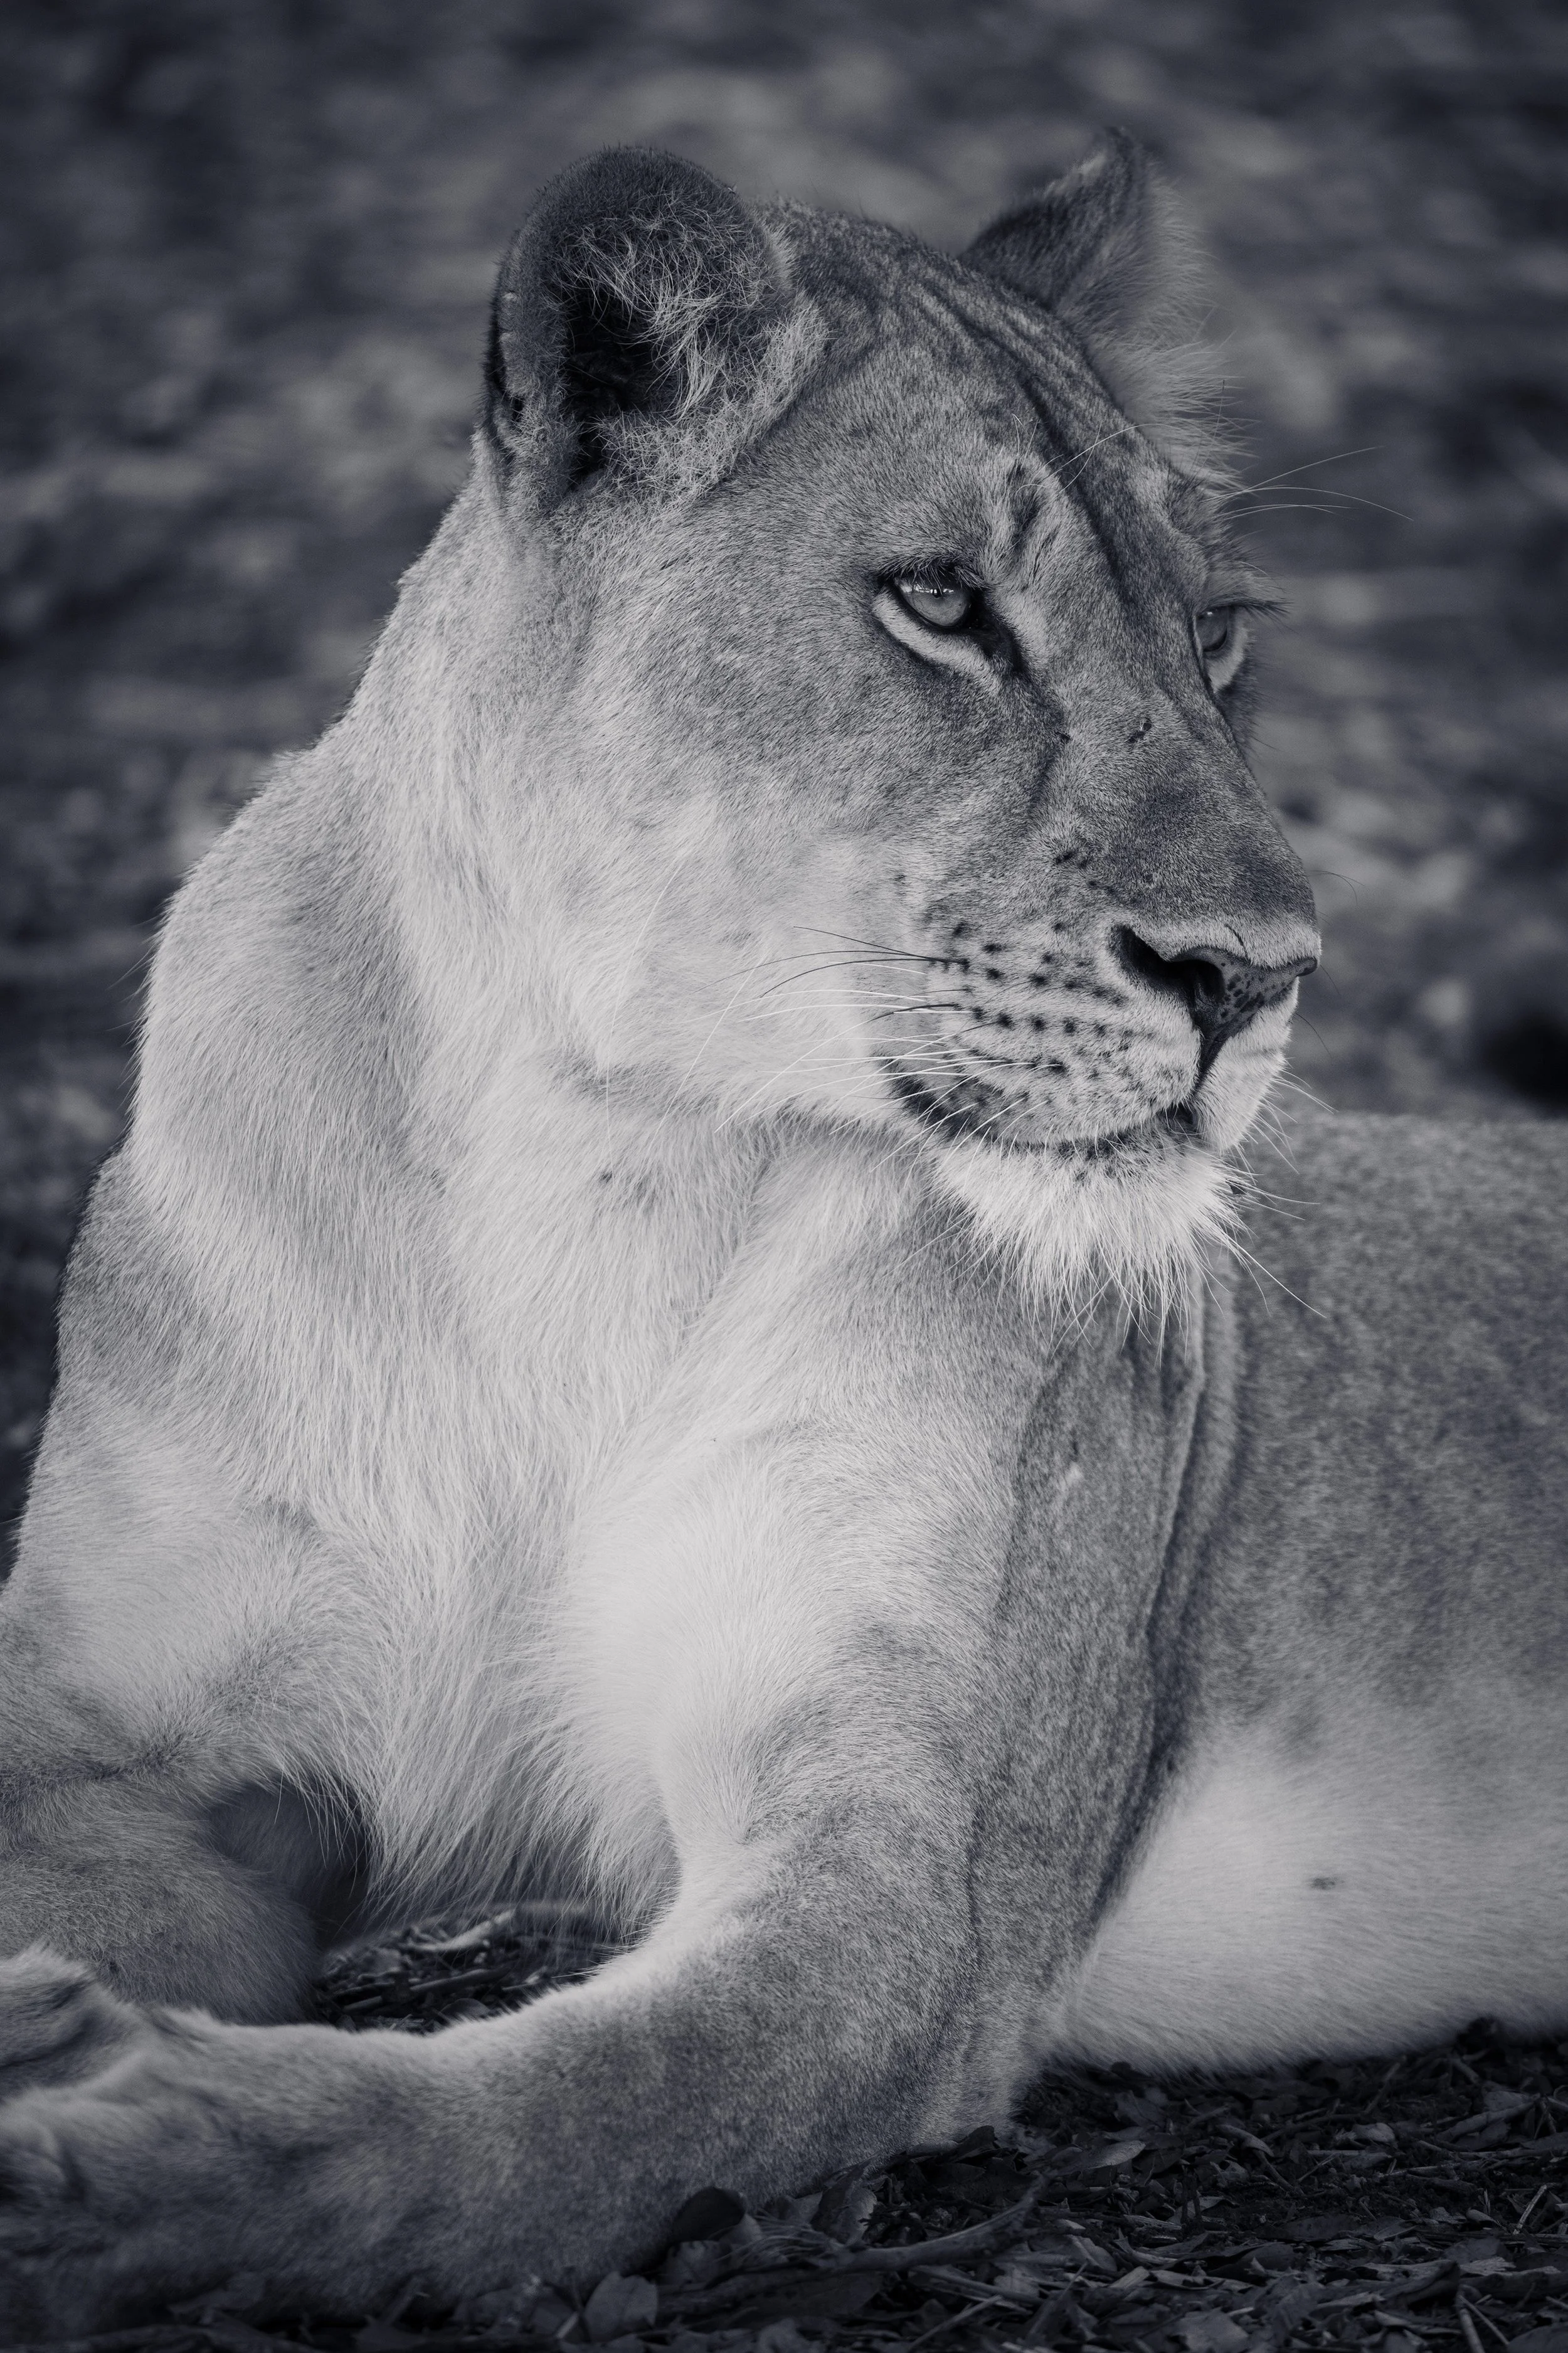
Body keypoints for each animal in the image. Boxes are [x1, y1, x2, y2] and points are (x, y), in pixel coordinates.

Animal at [1, 134, 1565, 2336]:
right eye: (940, 606)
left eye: (1218, 637)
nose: (1260, 975)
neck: (583, 1172)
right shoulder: (113, 1755)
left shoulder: (886, 1887)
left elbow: (525, 2122)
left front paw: (108, 2160)